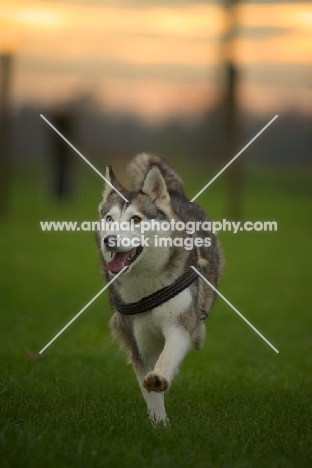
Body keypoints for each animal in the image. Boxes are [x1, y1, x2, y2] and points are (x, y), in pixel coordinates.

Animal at [95, 154, 222, 424]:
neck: (146, 282)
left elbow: (169, 353)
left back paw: (199, 334)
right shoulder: (137, 341)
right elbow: (149, 389)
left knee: (200, 313)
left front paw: (160, 377)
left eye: (135, 219)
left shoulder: (178, 322)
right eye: (109, 218)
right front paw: (159, 423)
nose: (109, 240)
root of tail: (175, 193)